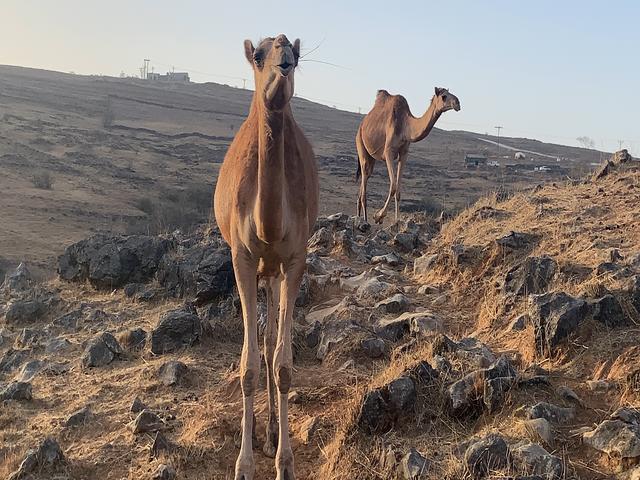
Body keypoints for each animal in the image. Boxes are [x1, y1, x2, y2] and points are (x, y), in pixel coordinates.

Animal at [356, 87, 460, 224]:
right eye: (444, 96)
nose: (457, 103)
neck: (405, 127)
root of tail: (362, 125)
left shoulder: (404, 152)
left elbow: (398, 190)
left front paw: (396, 220)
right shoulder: (388, 152)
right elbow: (393, 186)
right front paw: (379, 216)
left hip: (371, 157)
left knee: (366, 176)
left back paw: (359, 216)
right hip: (360, 144)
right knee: (364, 176)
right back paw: (365, 220)